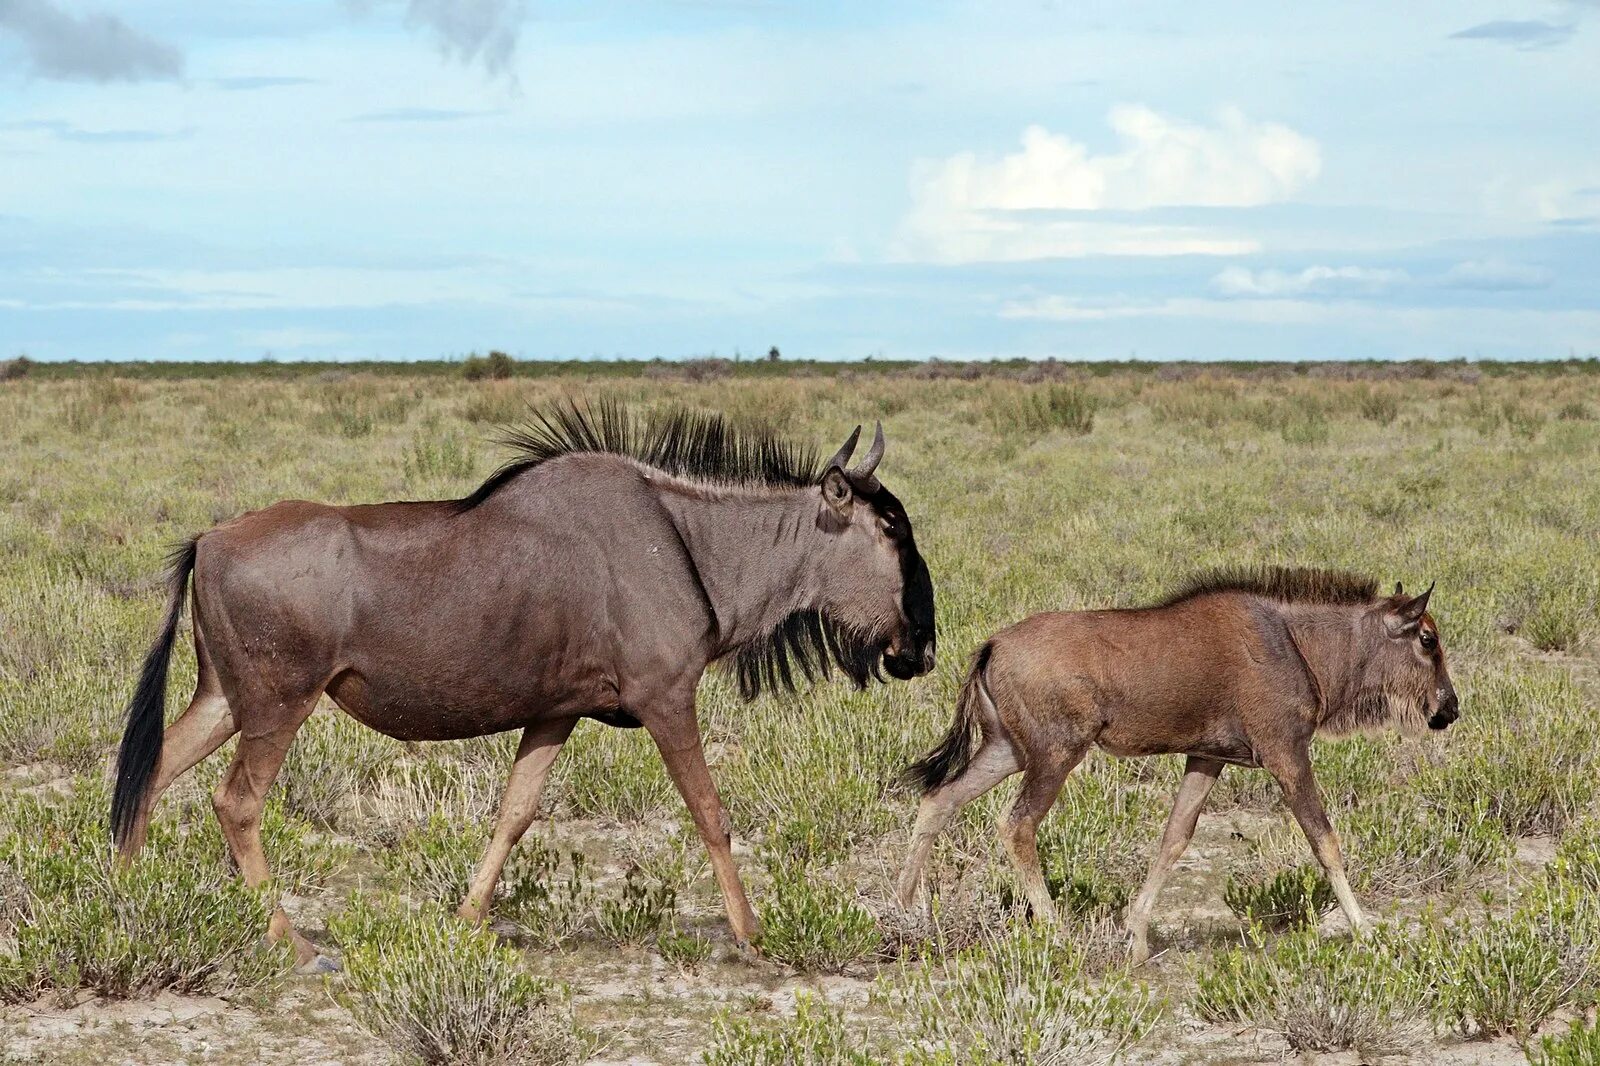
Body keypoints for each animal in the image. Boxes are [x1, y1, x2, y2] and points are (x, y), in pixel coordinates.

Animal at [902, 569, 1465, 960]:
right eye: (1427, 639)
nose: (1449, 708)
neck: (1297, 643)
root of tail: (992, 645)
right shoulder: (1285, 754)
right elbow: (1324, 840)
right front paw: (1367, 929)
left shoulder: (1207, 758)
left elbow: (1174, 839)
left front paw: (1136, 938)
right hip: (1055, 755)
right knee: (1017, 825)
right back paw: (1056, 932)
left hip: (1008, 750)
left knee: (938, 799)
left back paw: (909, 912)